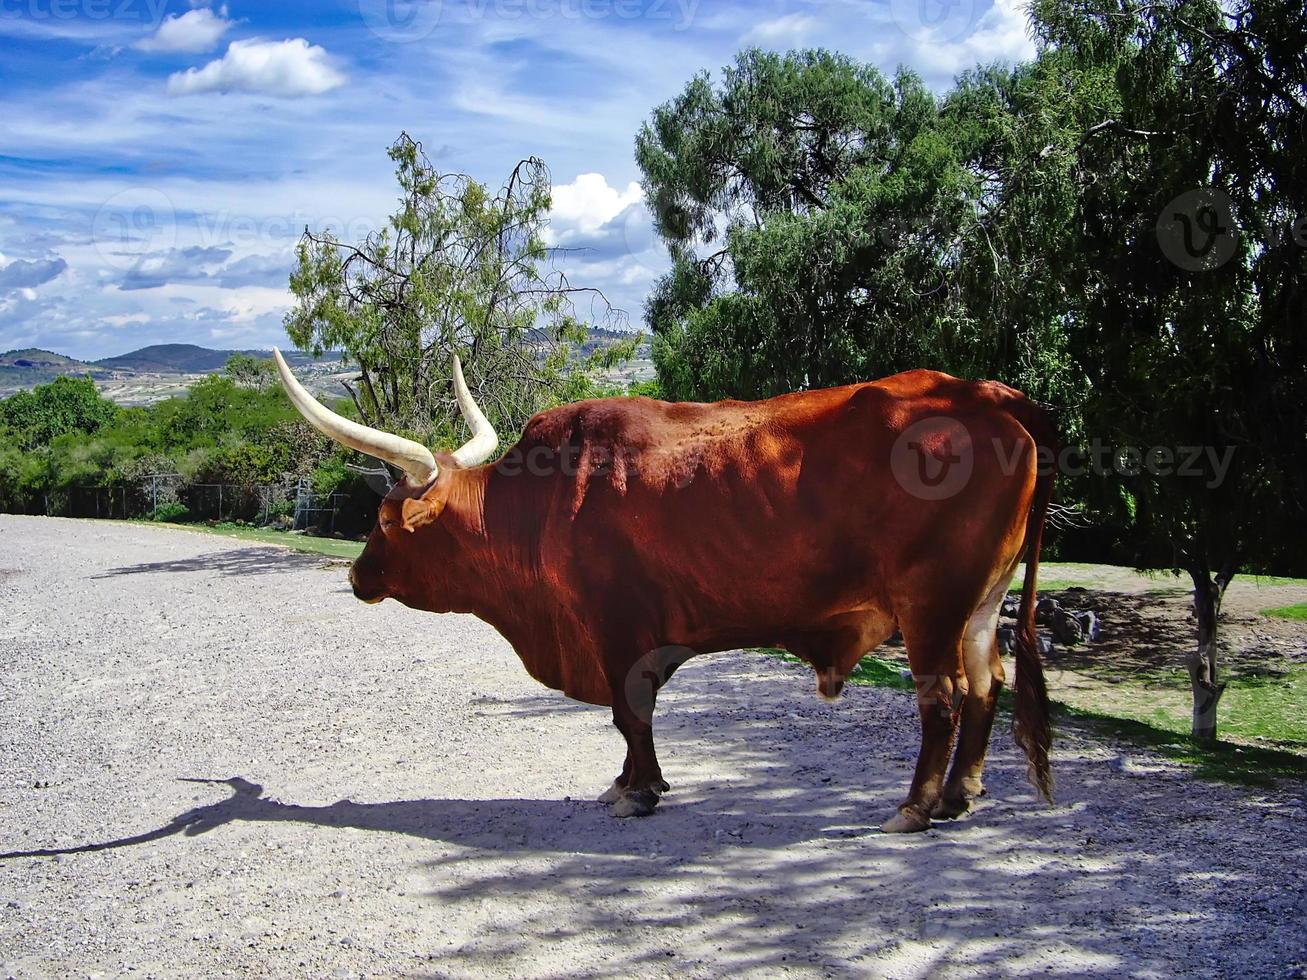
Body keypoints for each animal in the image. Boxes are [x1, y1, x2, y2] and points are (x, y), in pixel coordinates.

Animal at [273, 350, 1050, 831]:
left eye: (383, 518)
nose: (356, 573)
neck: (538, 500)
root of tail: (982, 394)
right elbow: (629, 718)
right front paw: (626, 783)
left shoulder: (618, 630)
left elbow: (631, 712)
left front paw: (638, 790)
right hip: (979, 605)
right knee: (987, 684)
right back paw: (958, 796)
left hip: (931, 605)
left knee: (942, 699)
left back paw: (914, 808)